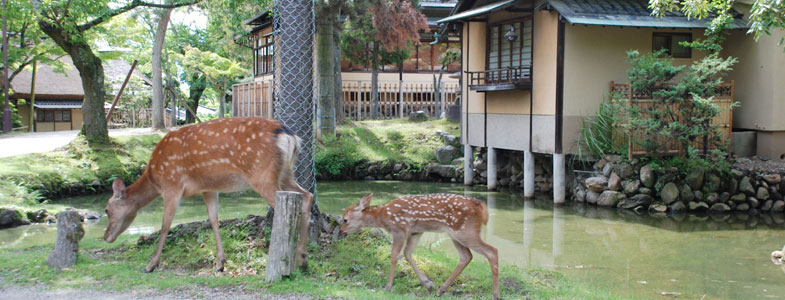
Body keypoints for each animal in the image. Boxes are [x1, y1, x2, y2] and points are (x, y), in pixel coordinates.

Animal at [103, 116, 312, 274]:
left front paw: (151, 264)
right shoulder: (208, 188)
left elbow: (165, 225)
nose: (105, 236)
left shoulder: (172, 185)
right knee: (306, 196)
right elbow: (213, 219)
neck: (154, 177)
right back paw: (302, 259)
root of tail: (289, 134)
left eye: (107, 209)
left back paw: (290, 259)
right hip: (285, 173)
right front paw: (220, 263)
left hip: (262, 173)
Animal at [340, 193, 500, 298]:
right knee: (466, 256)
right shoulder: (416, 231)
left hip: (465, 230)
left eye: (345, 219)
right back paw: (440, 290)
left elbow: (394, 256)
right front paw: (428, 284)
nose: (341, 232)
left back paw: (496, 294)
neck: (382, 216)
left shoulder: (400, 229)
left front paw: (388, 286)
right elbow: (407, 253)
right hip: (456, 233)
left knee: (492, 251)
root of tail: (482, 207)